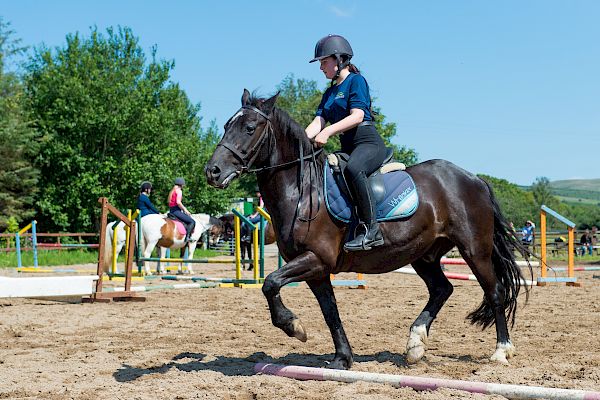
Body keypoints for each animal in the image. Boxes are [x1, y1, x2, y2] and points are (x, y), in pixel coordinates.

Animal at [204, 90, 532, 368]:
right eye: (226, 125)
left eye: (249, 128)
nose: (212, 172)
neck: (302, 191)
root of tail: (474, 178)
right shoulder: (317, 269)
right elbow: (329, 311)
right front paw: (341, 358)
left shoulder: (315, 259)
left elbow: (270, 283)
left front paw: (293, 326)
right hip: (423, 254)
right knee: (443, 288)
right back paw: (415, 344)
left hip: (474, 250)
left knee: (494, 291)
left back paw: (501, 351)